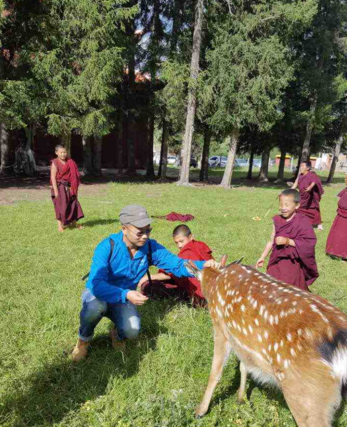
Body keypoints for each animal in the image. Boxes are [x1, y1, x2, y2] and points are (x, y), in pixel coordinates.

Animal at [188, 258, 347, 427]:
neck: (214, 282)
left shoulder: (220, 326)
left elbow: (215, 372)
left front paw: (200, 411)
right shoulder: (244, 342)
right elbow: (244, 365)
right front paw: (241, 398)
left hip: (307, 395)